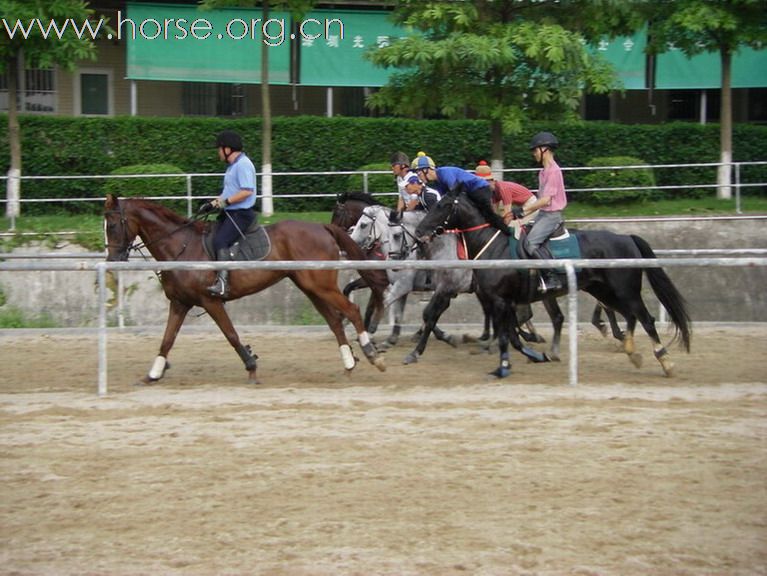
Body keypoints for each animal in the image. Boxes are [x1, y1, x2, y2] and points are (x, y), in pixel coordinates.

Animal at [105, 196, 388, 384]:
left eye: (113, 226)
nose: (112, 260)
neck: (182, 247)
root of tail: (322, 227)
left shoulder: (210, 301)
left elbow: (231, 334)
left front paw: (251, 365)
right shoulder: (180, 303)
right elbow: (167, 339)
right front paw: (153, 373)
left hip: (321, 285)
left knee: (350, 310)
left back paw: (371, 354)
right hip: (310, 287)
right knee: (334, 320)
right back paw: (349, 363)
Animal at [416, 188, 692, 378]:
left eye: (442, 205)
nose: (419, 231)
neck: (493, 246)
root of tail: (627, 238)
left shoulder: (499, 300)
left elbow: (507, 336)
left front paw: (503, 367)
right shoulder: (503, 301)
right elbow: (511, 336)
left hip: (625, 291)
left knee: (646, 319)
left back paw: (665, 362)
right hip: (605, 291)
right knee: (630, 317)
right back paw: (632, 352)